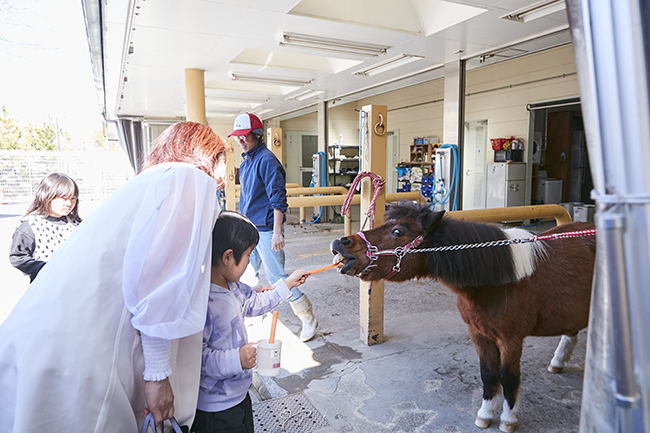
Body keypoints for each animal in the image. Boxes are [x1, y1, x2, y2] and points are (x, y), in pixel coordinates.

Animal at [330, 202, 592, 432]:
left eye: (398, 231)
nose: (341, 243)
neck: (502, 281)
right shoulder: (479, 334)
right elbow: (488, 374)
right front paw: (485, 414)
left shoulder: (511, 340)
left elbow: (508, 378)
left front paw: (507, 420)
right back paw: (558, 362)